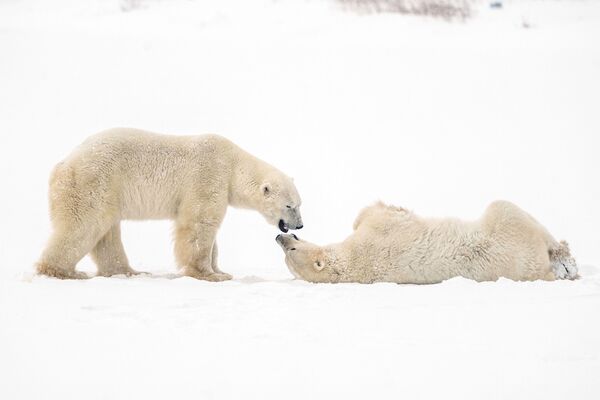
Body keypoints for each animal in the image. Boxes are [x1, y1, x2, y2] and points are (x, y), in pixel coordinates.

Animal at [35, 128, 302, 282]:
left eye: (299, 203)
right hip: (94, 181)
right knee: (84, 224)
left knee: (106, 233)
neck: (233, 164)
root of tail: (62, 164)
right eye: (290, 206)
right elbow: (198, 224)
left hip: (107, 190)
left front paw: (219, 270)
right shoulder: (209, 175)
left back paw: (128, 271)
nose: (299, 225)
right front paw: (209, 275)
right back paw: (63, 271)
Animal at [276, 200, 576, 284]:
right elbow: (379, 214)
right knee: (507, 209)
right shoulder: (376, 235)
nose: (280, 237)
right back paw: (565, 261)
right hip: (509, 235)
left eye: (291, 249)